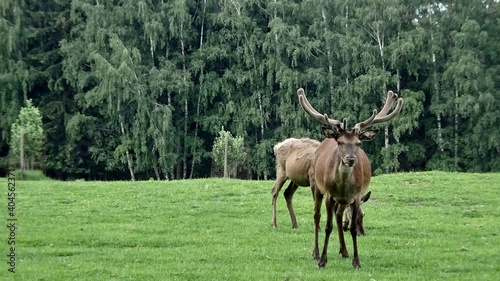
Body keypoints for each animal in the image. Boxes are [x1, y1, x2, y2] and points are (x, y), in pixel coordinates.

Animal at [296, 87, 402, 266]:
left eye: (358, 143)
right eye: (340, 142)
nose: (351, 159)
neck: (343, 186)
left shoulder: (356, 196)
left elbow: (351, 228)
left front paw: (356, 261)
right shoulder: (329, 195)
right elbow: (328, 226)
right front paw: (322, 260)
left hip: (343, 200)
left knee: (339, 216)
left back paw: (344, 251)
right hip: (316, 186)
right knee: (317, 216)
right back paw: (315, 253)